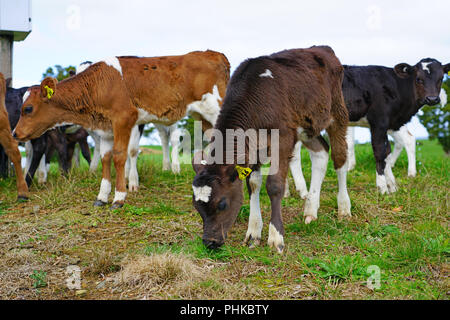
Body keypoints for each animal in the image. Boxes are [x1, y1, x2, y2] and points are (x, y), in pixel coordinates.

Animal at [14, 50, 229, 208]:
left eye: (28, 108)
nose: (15, 133)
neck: (99, 85)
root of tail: (213, 53)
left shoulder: (124, 120)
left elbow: (120, 156)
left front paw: (119, 197)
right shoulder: (106, 129)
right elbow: (105, 158)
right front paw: (102, 196)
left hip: (215, 110)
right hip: (204, 118)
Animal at [192, 46, 350, 254]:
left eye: (222, 203)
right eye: (197, 206)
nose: (210, 242)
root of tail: (322, 48)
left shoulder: (282, 140)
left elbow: (274, 185)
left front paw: (276, 237)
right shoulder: (253, 147)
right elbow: (253, 184)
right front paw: (253, 234)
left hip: (337, 113)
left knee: (340, 157)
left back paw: (344, 208)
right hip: (307, 125)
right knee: (321, 153)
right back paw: (310, 210)